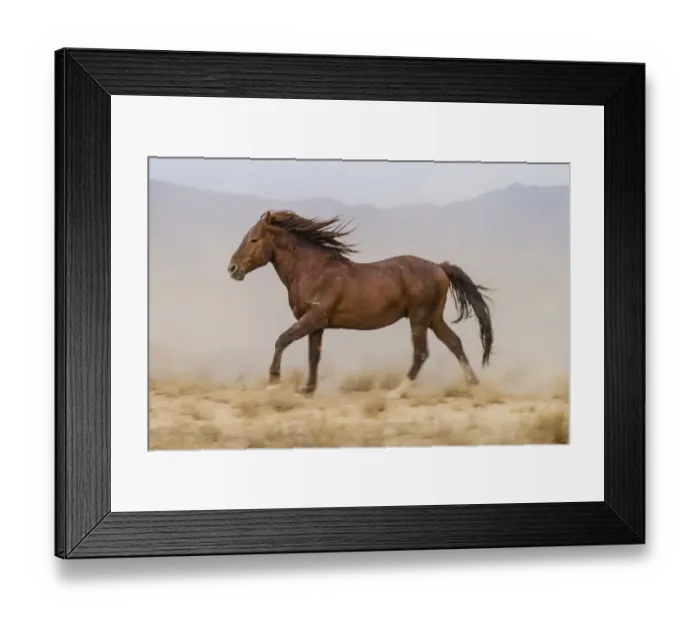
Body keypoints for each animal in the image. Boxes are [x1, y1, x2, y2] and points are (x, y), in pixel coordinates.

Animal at [227, 210, 493, 398]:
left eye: (254, 239)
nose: (232, 268)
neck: (311, 270)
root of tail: (440, 267)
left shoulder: (313, 318)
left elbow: (282, 340)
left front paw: (273, 384)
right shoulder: (317, 325)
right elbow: (314, 356)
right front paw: (307, 389)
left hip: (419, 318)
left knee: (421, 353)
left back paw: (397, 392)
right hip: (433, 318)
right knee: (454, 343)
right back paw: (473, 385)